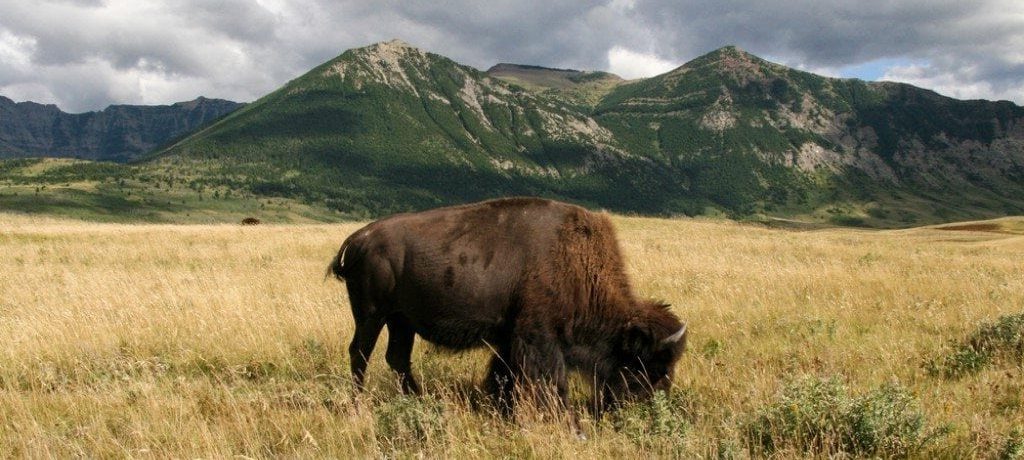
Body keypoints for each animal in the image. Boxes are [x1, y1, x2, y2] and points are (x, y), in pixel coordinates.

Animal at [327, 195, 688, 413]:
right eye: (647, 368)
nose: (648, 410)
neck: (575, 263)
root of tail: (357, 239)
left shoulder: (509, 338)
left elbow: (503, 373)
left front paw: (500, 405)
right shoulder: (537, 338)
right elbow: (543, 378)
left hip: (401, 321)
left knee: (397, 358)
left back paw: (420, 400)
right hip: (371, 315)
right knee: (360, 354)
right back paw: (360, 405)